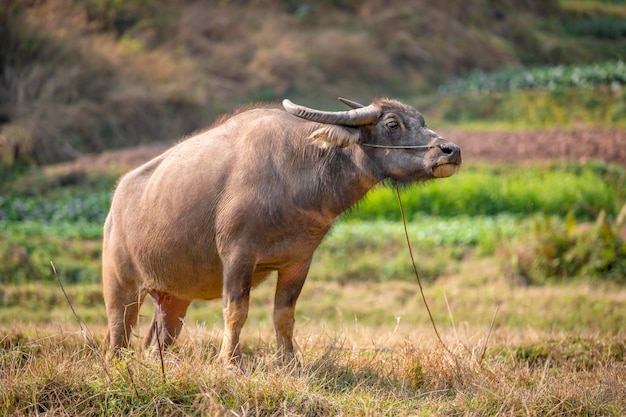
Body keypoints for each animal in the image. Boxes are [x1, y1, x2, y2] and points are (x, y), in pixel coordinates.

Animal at [102, 96, 460, 360]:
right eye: (392, 124)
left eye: (422, 122)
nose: (451, 150)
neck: (295, 174)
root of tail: (114, 203)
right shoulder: (238, 256)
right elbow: (236, 311)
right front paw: (229, 361)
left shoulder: (298, 261)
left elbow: (284, 316)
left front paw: (289, 362)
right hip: (121, 285)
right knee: (118, 335)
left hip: (173, 297)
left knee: (156, 340)